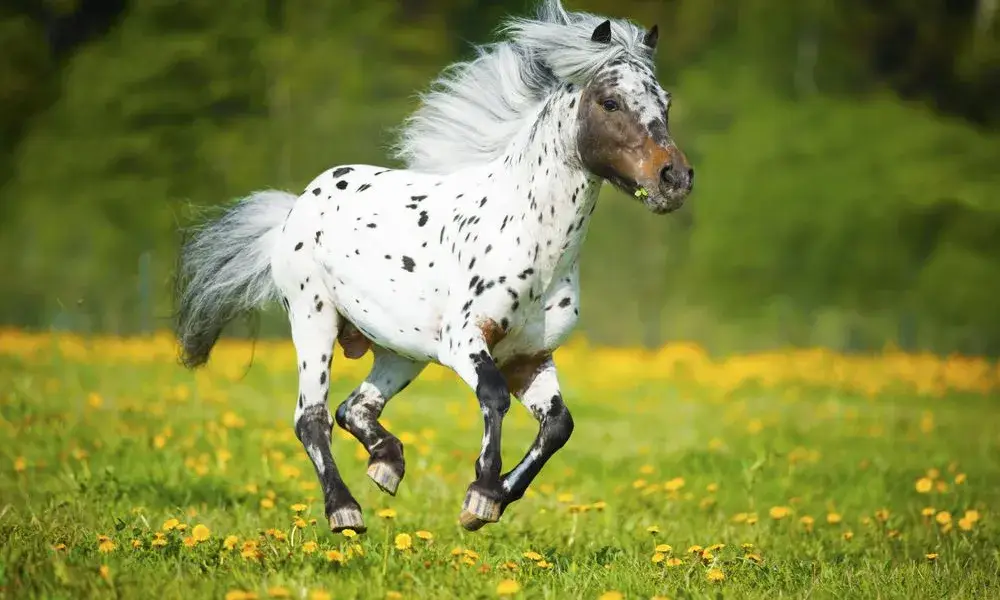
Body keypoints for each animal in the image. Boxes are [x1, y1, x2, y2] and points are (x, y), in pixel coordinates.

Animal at [173, 0, 693, 534]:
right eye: (610, 102)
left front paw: (494, 497)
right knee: (311, 417)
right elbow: (493, 396)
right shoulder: (464, 341)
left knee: (354, 407)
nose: (674, 179)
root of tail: (297, 206)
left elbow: (558, 425)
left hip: (400, 351)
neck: (531, 240)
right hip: (313, 319)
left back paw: (387, 463)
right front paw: (481, 494)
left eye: (666, 101)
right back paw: (345, 510)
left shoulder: (530, 357)